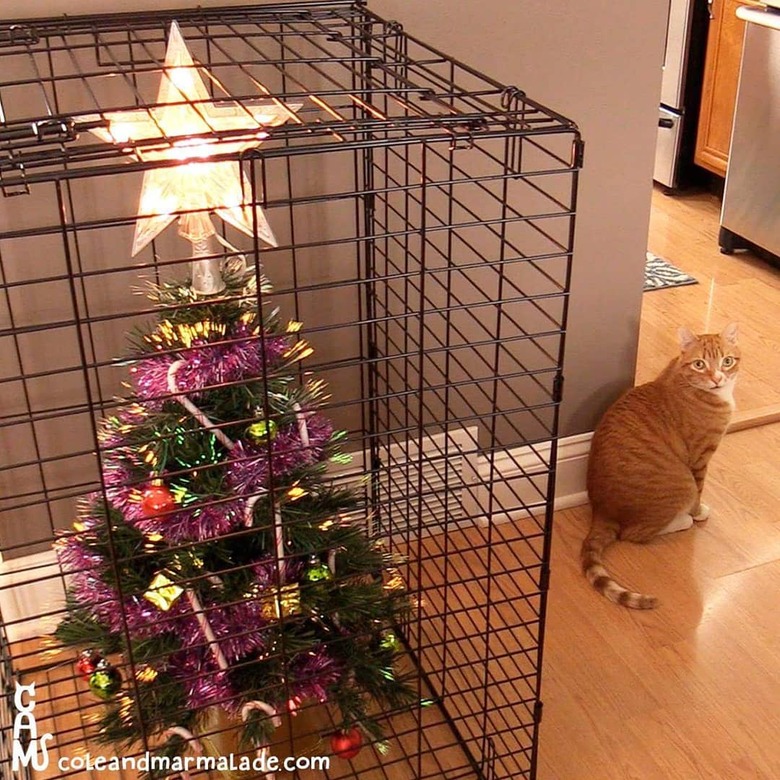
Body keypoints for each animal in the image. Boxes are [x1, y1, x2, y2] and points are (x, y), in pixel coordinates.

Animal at [580, 322, 740, 608]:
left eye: (727, 361)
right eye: (700, 364)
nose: (717, 378)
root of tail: (601, 510)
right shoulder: (700, 457)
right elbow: (700, 491)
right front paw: (698, 512)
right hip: (682, 484)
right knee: (633, 534)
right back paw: (682, 520)